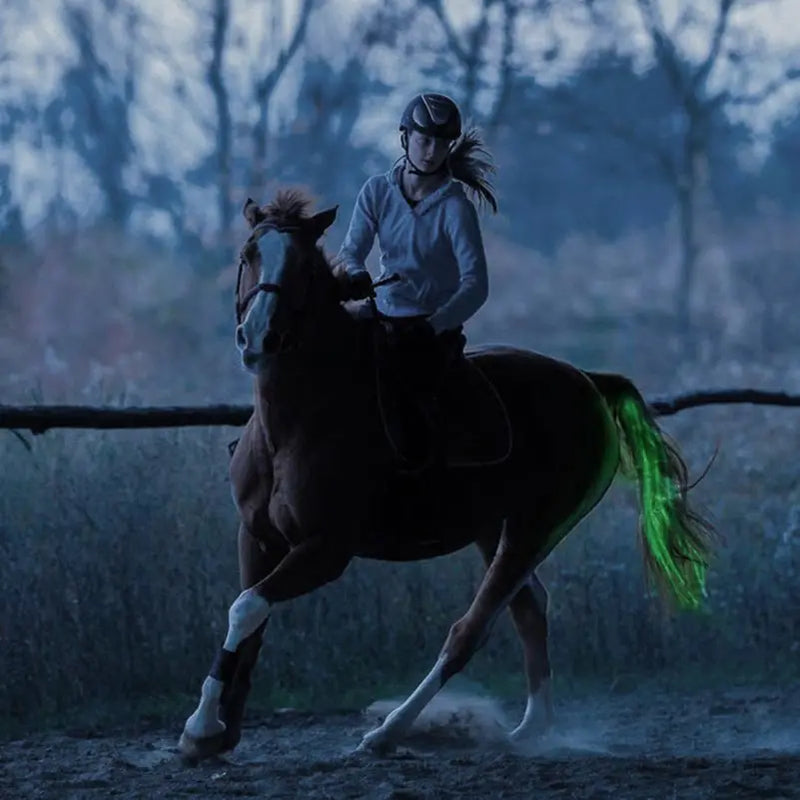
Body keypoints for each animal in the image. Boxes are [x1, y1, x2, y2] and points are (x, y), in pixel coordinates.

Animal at [178, 189, 716, 759]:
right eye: (248, 254)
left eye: (302, 267)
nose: (259, 336)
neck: (297, 419)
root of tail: (589, 381)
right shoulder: (258, 536)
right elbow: (249, 618)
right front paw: (216, 730)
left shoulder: (325, 550)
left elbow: (246, 608)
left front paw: (201, 727)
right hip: (495, 530)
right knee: (529, 608)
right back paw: (530, 729)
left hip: (536, 528)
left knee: (470, 630)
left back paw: (389, 732)